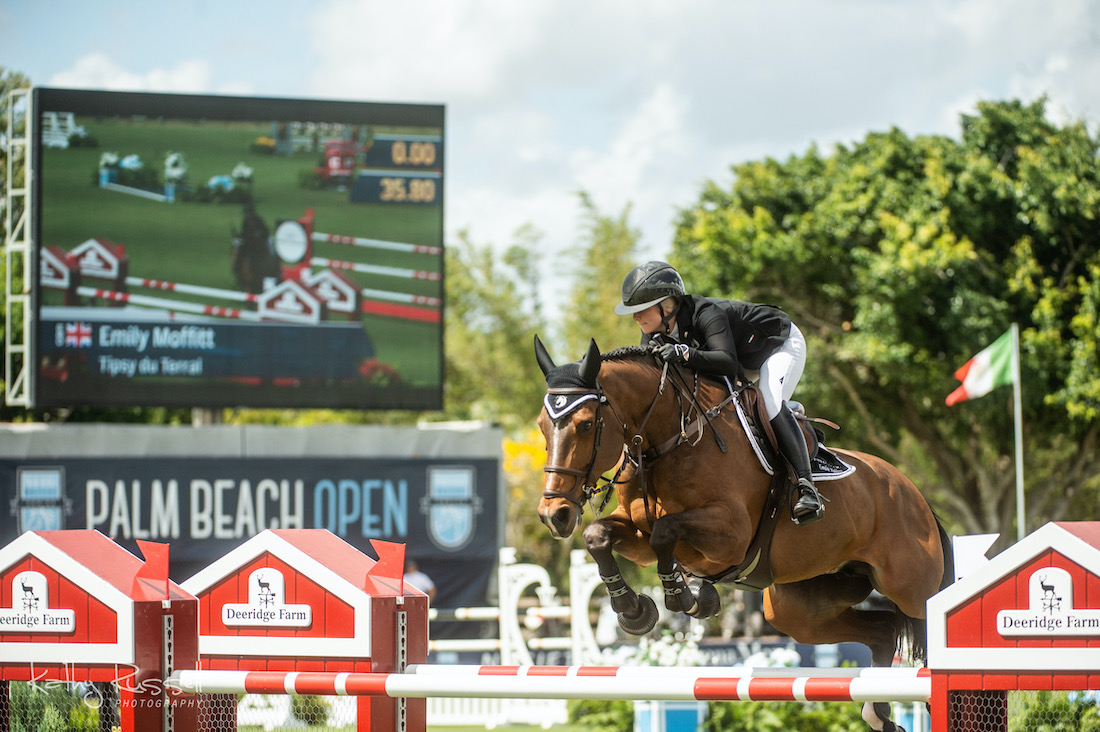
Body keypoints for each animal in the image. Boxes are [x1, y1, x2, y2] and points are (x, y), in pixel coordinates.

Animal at [534, 334, 954, 730]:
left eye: (586, 424)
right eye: (541, 426)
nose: (554, 515)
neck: (668, 439)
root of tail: (914, 493)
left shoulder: (729, 537)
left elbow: (666, 532)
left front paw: (687, 598)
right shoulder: (638, 532)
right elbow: (600, 537)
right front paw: (635, 611)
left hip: (912, 589)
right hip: (800, 609)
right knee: (883, 630)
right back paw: (879, 716)